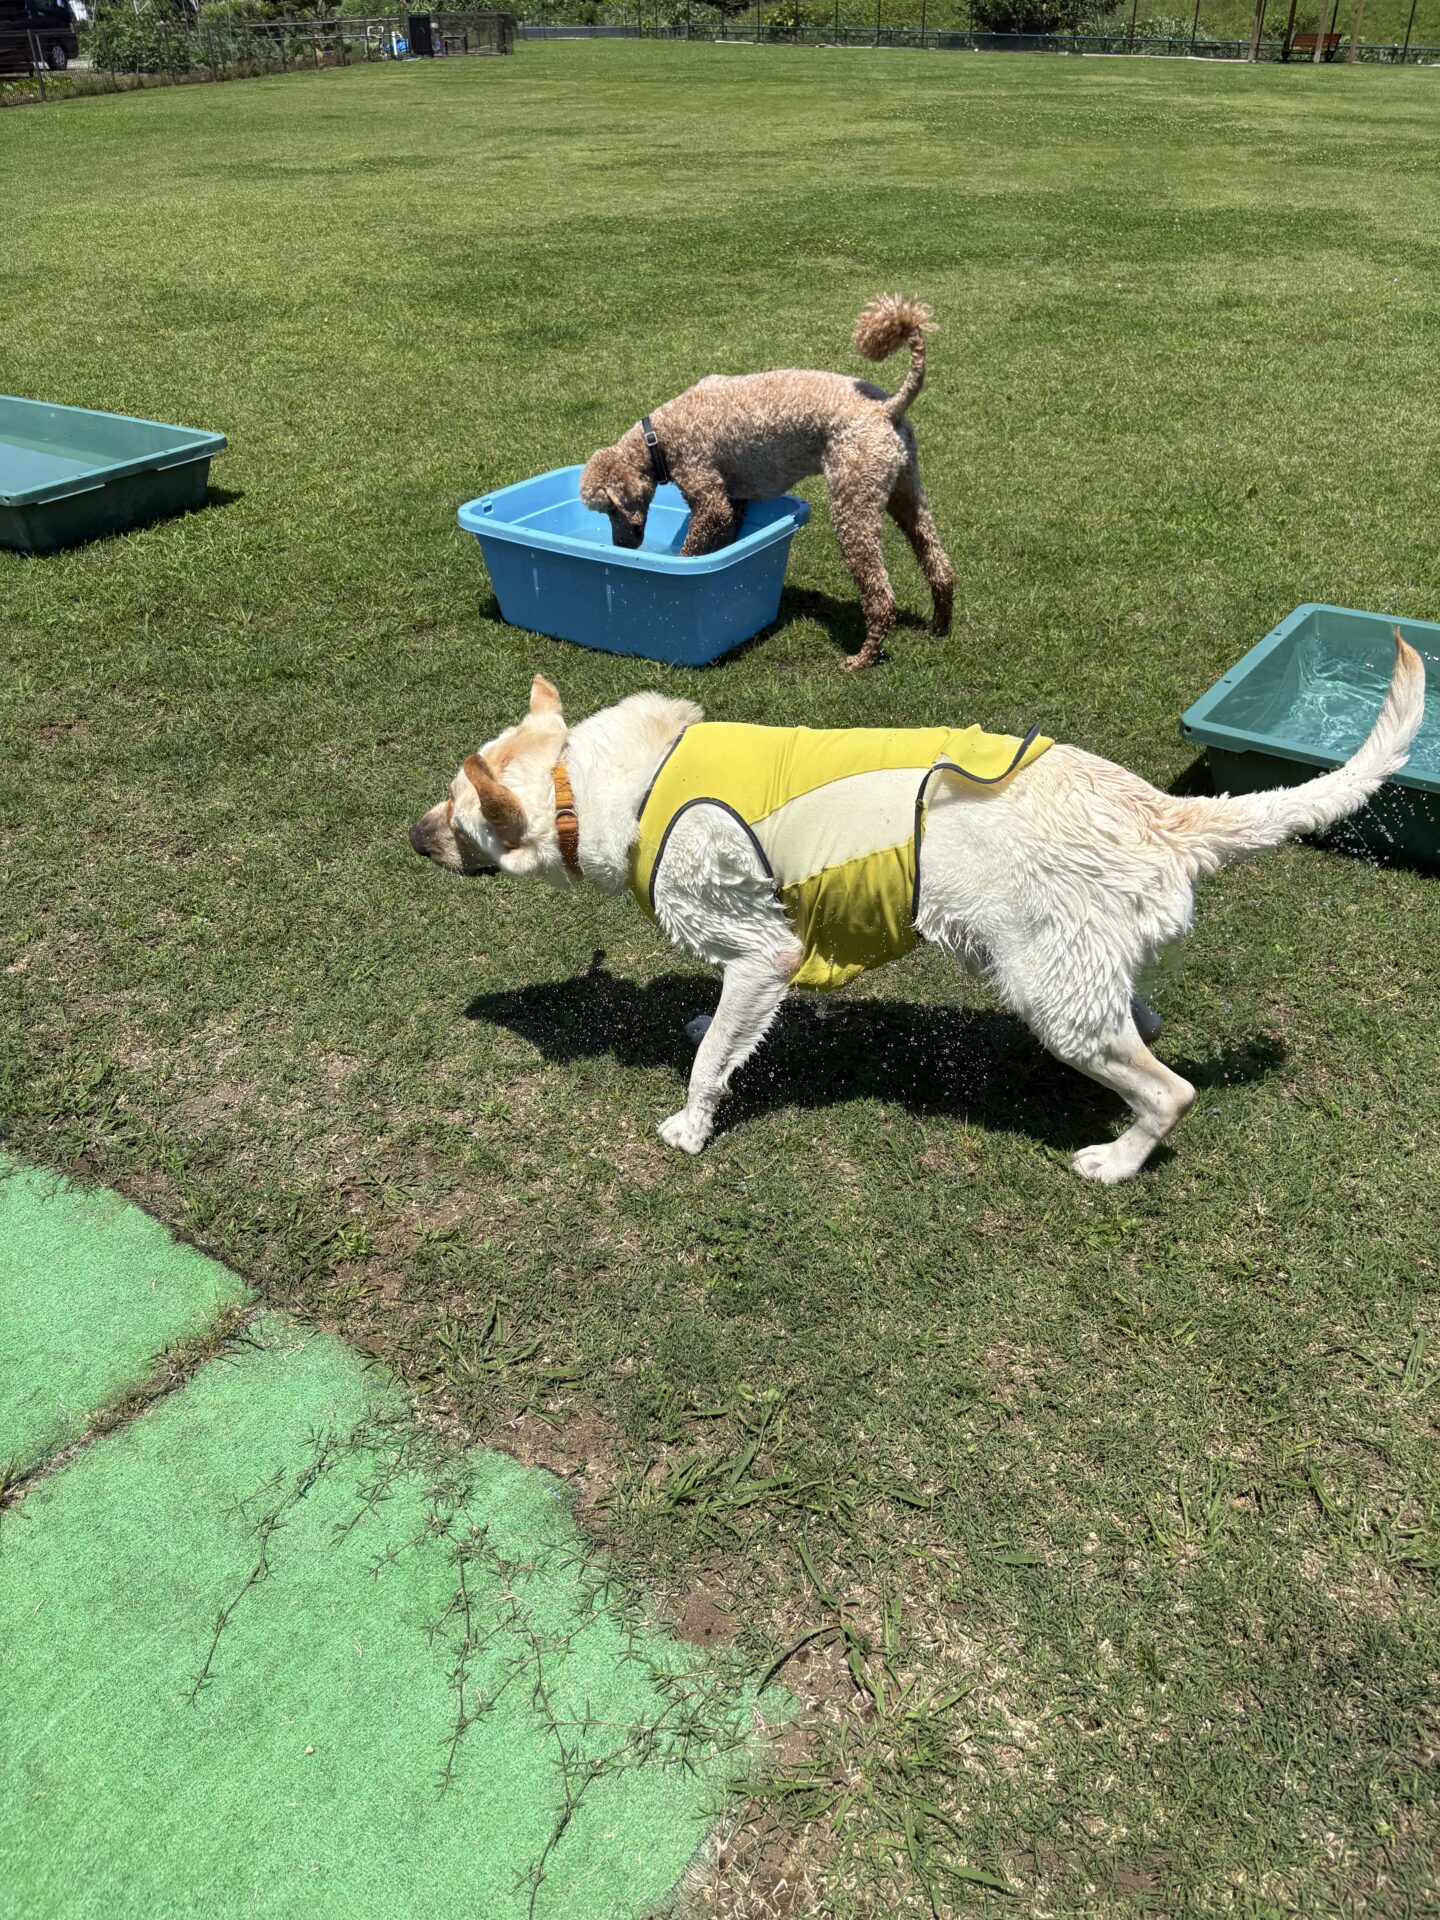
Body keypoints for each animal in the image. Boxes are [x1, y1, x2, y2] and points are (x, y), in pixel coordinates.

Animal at [409, 637, 1423, 1183]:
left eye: (460, 819)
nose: (410, 837)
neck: (590, 780)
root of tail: (1161, 813)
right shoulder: (755, 956)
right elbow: (723, 1028)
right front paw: (707, 1031)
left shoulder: (766, 950)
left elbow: (707, 1064)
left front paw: (692, 1126)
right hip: (1076, 973)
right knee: (1145, 1021)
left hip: (1051, 993)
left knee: (1172, 1089)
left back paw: (1117, 1159)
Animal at [577, 296, 954, 671]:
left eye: (609, 509)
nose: (621, 546)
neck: (657, 438)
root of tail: (887, 407)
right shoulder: (735, 502)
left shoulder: (709, 494)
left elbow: (694, 544)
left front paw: (682, 567)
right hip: (906, 495)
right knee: (940, 566)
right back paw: (937, 626)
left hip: (853, 504)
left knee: (881, 596)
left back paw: (863, 657)